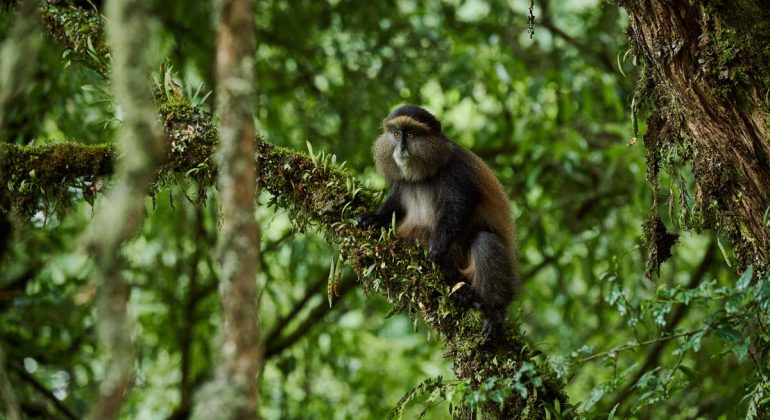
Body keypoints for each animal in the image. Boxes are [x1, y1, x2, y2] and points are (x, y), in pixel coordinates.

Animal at [357, 105, 517, 341]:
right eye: (396, 134)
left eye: (411, 135)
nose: (401, 149)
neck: (421, 176)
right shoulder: (400, 182)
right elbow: (395, 203)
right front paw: (375, 219)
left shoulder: (455, 171)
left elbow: (459, 206)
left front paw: (437, 247)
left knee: (485, 241)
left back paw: (493, 310)